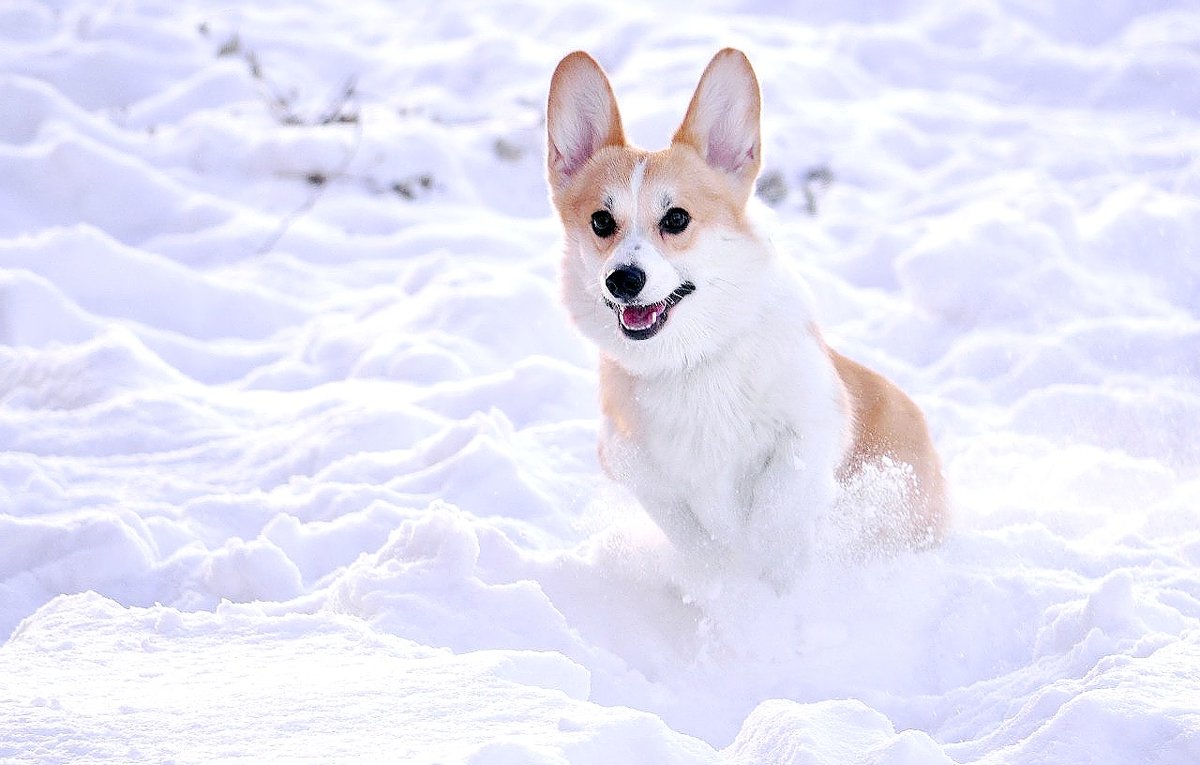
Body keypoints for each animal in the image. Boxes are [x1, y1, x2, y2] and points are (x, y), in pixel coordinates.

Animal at [544, 50, 945, 585]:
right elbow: (691, 532)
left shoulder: (814, 424)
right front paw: (726, 579)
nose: (622, 280)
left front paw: (770, 572)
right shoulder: (629, 460)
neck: (692, 361)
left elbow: (778, 504)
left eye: (676, 219)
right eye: (601, 222)